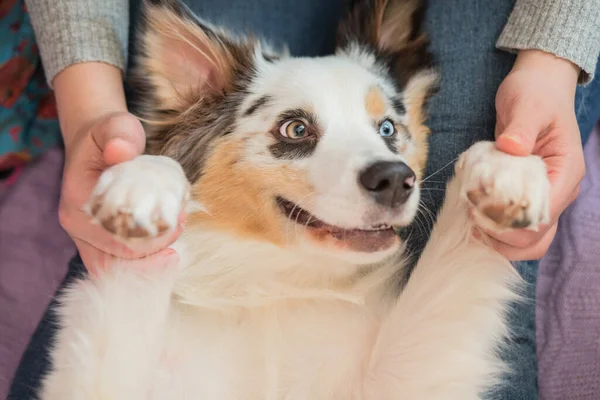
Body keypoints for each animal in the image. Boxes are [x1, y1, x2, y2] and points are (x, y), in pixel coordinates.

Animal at [39, 0, 552, 396]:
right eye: (296, 129)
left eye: (387, 128)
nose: (395, 180)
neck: (278, 283)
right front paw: (141, 184)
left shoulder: (401, 378)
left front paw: (506, 172)